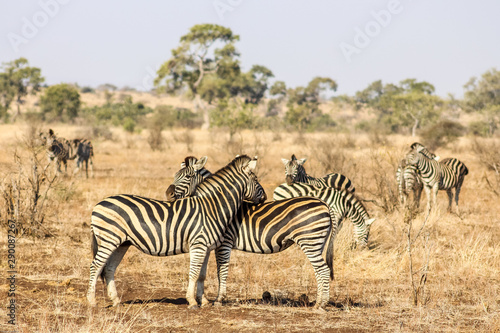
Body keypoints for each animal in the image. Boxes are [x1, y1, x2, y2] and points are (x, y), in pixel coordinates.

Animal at [87, 154, 266, 308]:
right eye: (256, 179)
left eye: (187, 176)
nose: (264, 197)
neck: (211, 207)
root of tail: (98, 204)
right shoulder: (199, 245)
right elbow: (194, 273)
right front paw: (192, 302)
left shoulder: (206, 247)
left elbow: (201, 275)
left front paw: (204, 301)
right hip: (109, 239)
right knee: (96, 266)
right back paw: (92, 301)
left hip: (122, 243)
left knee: (109, 268)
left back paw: (116, 301)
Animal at [166, 157, 342, 308]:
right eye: (174, 176)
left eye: (188, 177)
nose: (168, 194)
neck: (214, 205)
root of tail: (324, 204)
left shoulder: (224, 243)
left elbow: (221, 271)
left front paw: (218, 300)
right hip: (316, 242)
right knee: (320, 270)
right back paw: (319, 302)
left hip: (310, 241)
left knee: (323, 270)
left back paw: (321, 305)